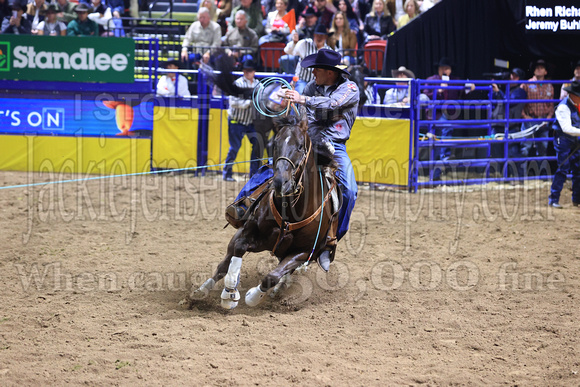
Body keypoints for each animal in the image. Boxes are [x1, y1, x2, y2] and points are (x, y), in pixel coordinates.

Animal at [190, 114, 340, 310]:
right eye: (275, 143)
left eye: (300, 146)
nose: (280, 182)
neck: (290, 213)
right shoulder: (248, 232)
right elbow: (238, 250)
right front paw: (230, 294)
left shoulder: (303, 251)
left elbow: (272, 276)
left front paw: (253, 296)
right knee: (223, 265)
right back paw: (201, 291)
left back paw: (278, 290)